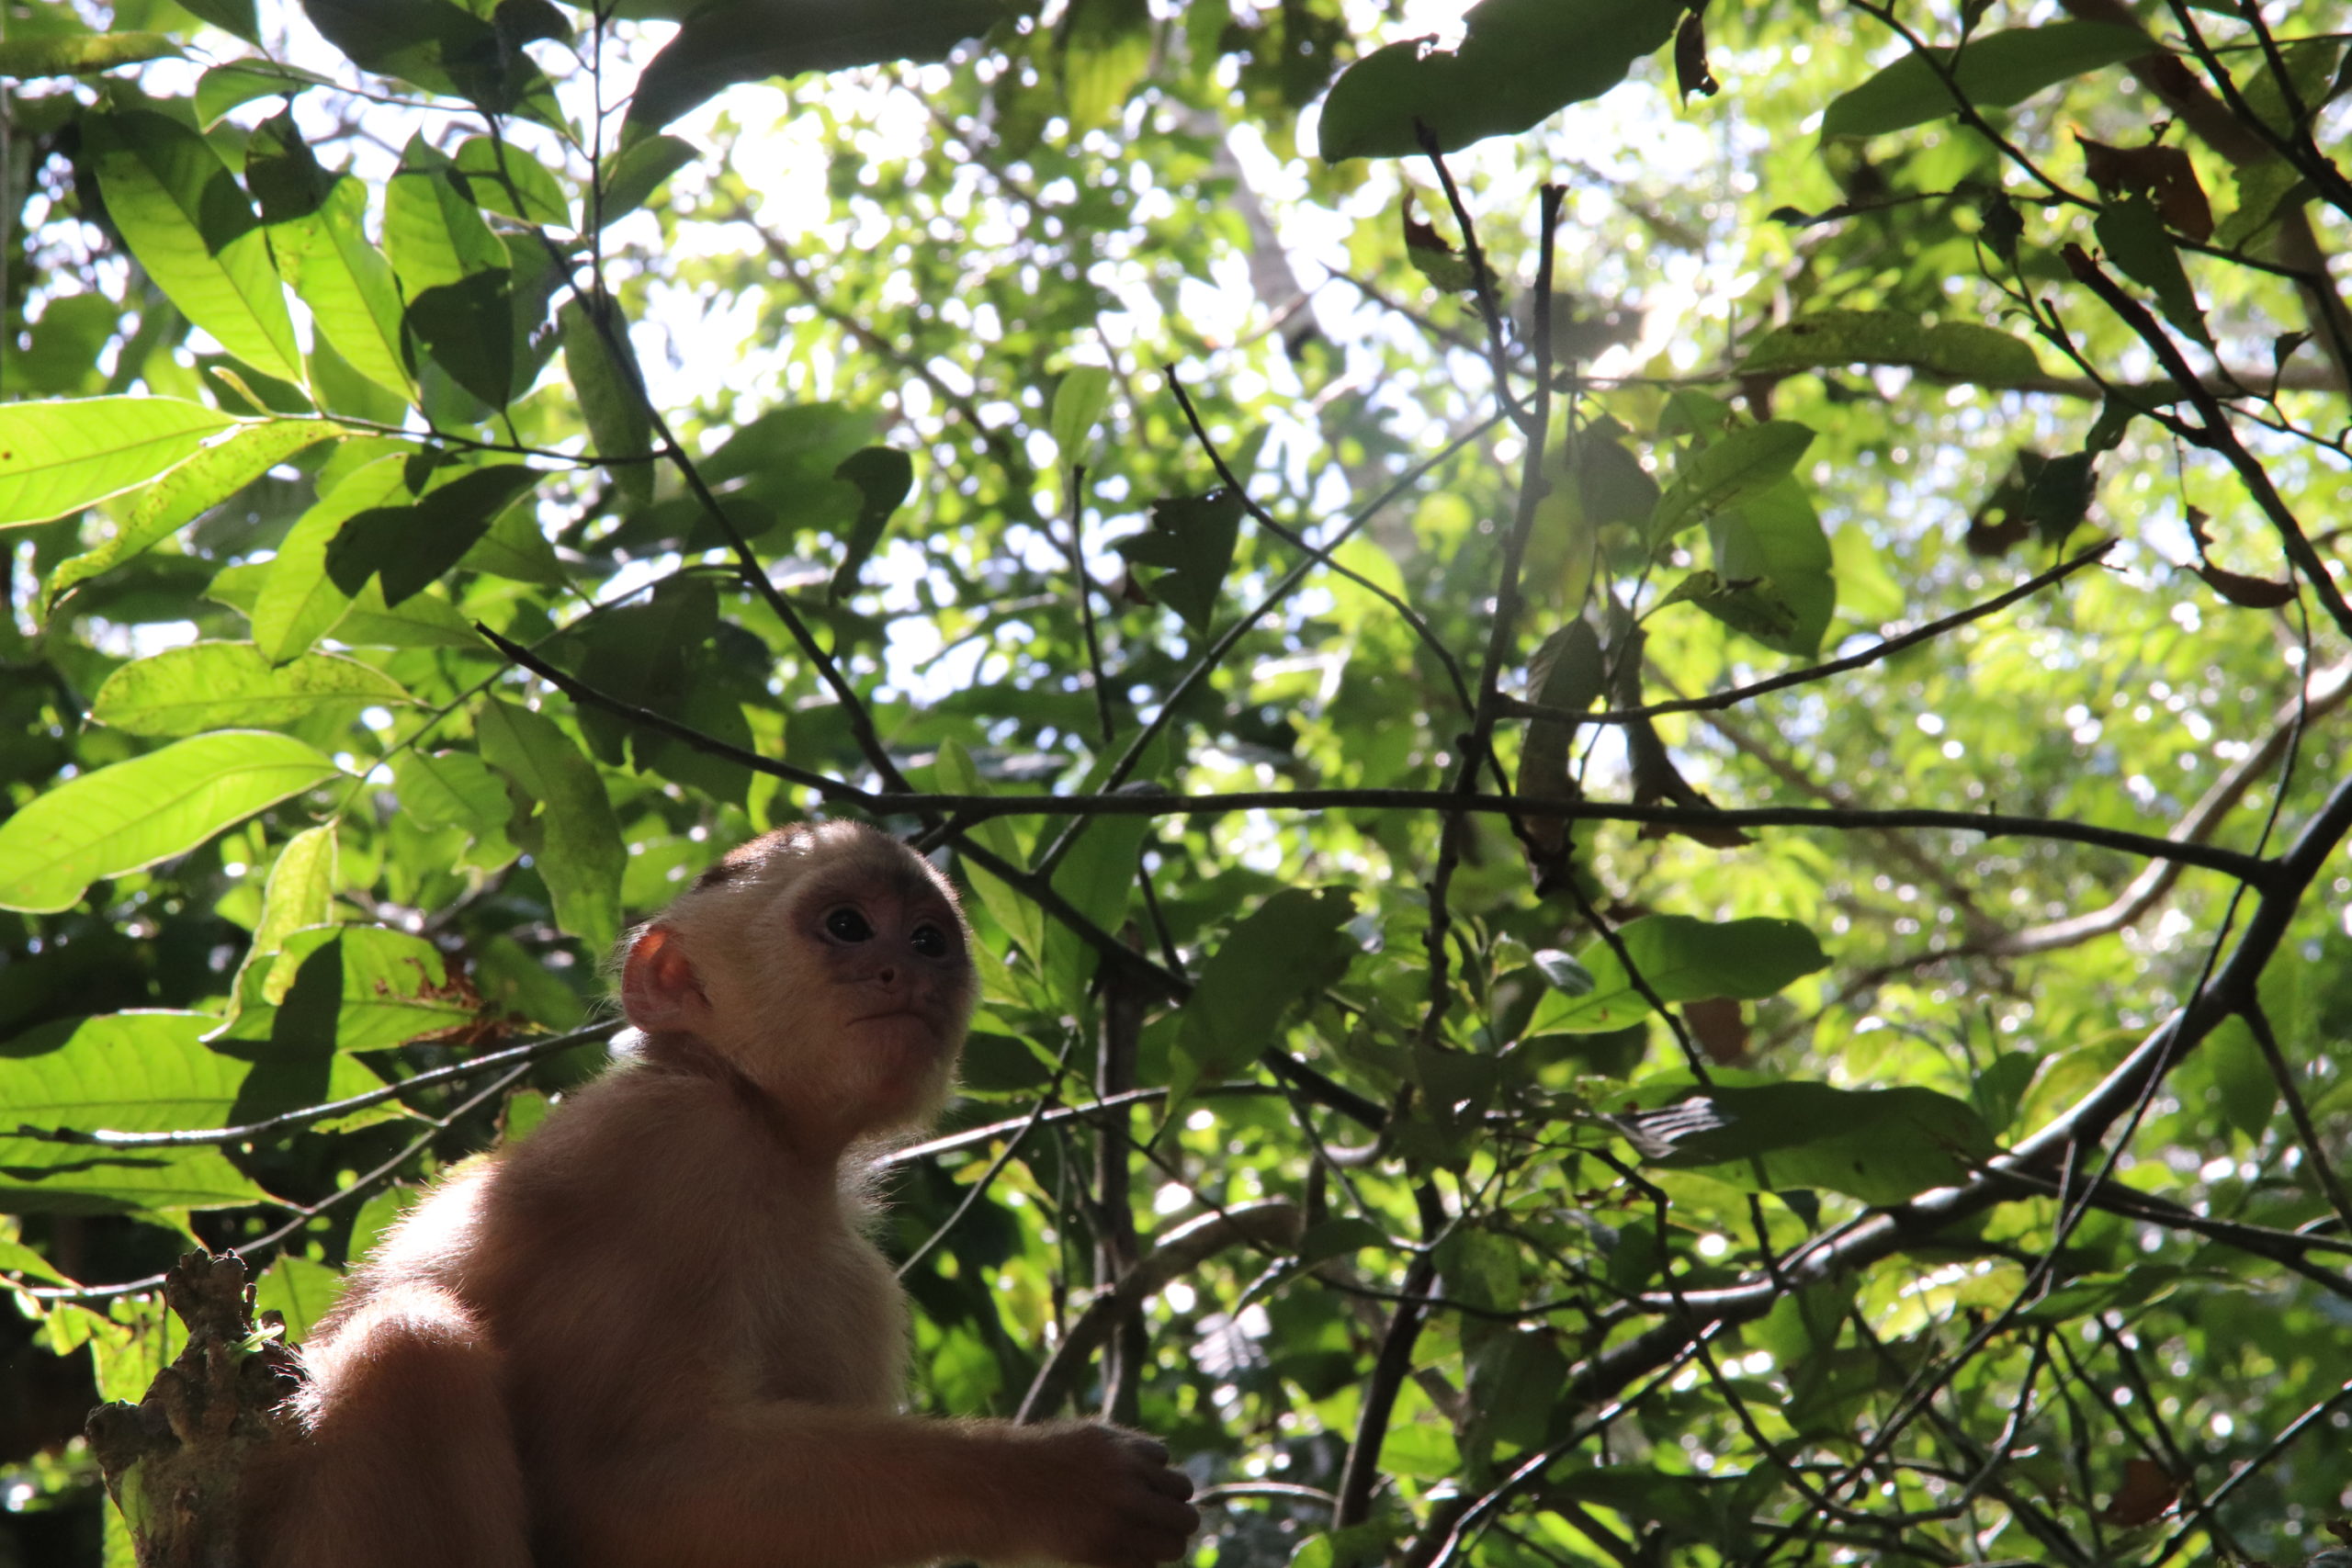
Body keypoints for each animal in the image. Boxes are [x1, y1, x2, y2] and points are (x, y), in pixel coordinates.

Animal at [242, 820, 1200, 1568]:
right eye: (848, 926)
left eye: (929, 940)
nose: (906, 974)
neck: (769, 1132)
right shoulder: (669, 1155)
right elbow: (611, 1488)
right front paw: (1061, 1484)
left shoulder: (857, 1282)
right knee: (409, 1347)